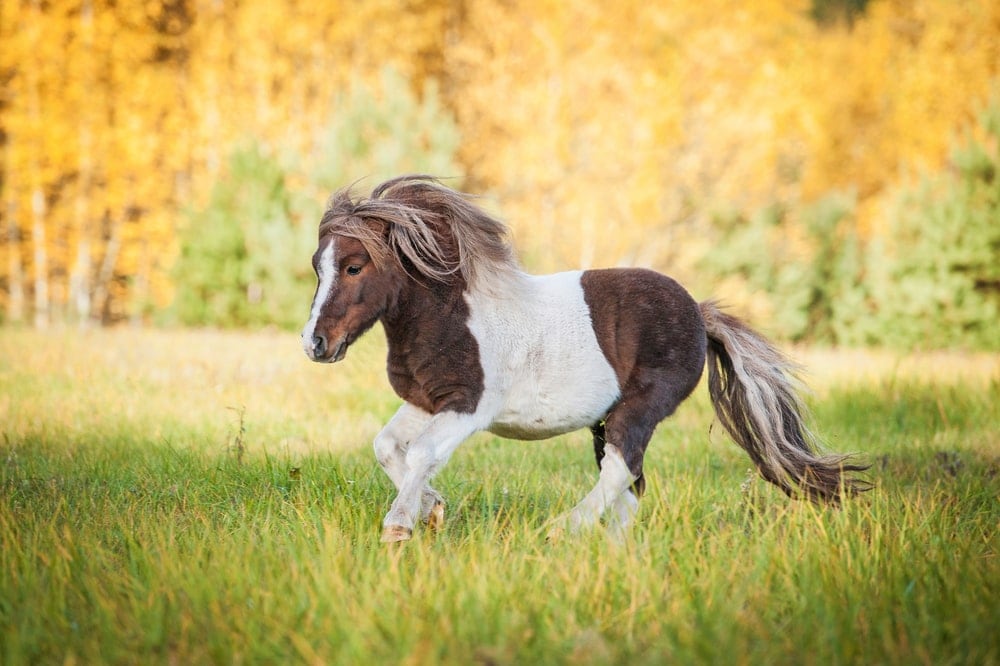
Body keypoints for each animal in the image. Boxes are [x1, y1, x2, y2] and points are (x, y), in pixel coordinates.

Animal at [301, 175, 870, 543]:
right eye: (317, 266)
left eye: (354, 266)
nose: (315, 345)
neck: (453, 318)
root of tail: (699, 312)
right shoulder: (425, 402)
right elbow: (386, 448)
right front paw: (432, 509)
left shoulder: (467, 408)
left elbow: (420, 453)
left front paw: (399, 526)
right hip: (608, 419)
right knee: (630, 484)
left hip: (637, 410)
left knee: (620, 469)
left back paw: (560, 531)